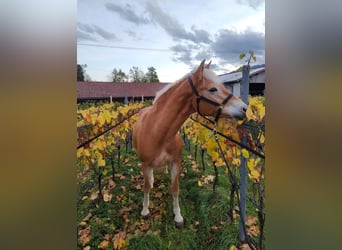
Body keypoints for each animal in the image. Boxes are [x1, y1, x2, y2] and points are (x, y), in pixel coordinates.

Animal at [132, 59, 247, 228]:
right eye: (213, 89)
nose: (244, 108)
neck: (158, 131)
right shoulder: (145, 164)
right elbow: (146, 187)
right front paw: (145, 210)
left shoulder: (175, 163)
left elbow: (175, 189)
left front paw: (178, 217)